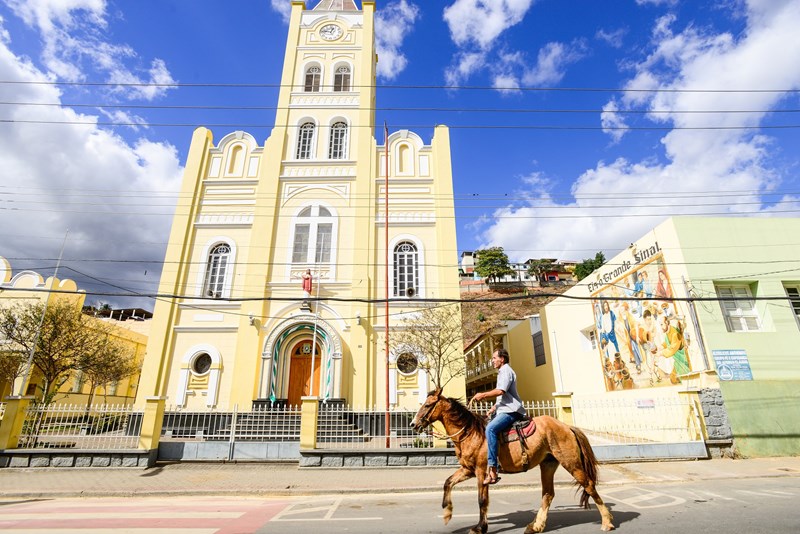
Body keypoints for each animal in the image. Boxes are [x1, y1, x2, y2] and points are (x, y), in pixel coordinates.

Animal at [410, 390, 616, 534]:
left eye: (428, 405)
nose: (413, 424)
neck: (470, 432)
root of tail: (567, 427)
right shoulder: (468, 469)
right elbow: (447, 483)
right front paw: (447, 513)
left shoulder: (482, 471)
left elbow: (482, 500)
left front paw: (480, 527)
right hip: (548, 465)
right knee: (548, 494)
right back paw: (535, 526)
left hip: (571, 463)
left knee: (589, 485)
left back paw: (607, 521)